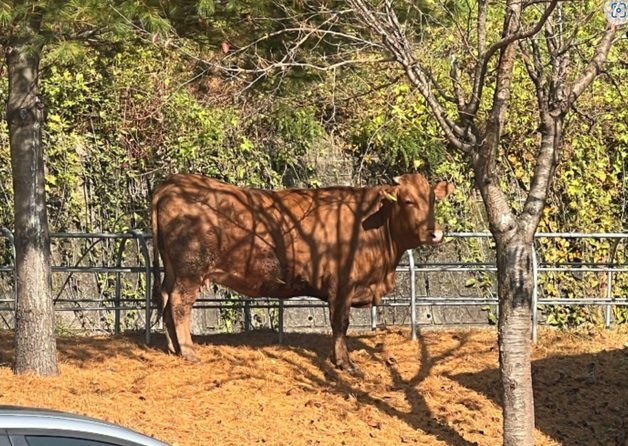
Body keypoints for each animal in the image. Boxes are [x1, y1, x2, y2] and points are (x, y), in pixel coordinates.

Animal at [151, 174, 452, 372]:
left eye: (433, 200)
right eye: (408, 201)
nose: (434, 233)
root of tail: (173, 182)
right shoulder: (342, 285)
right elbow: (340, 324)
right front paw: (344, 363)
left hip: (173, 270)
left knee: (165, 299)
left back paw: (173, 348)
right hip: (191, 270)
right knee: (179, 304)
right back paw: (188, 351)